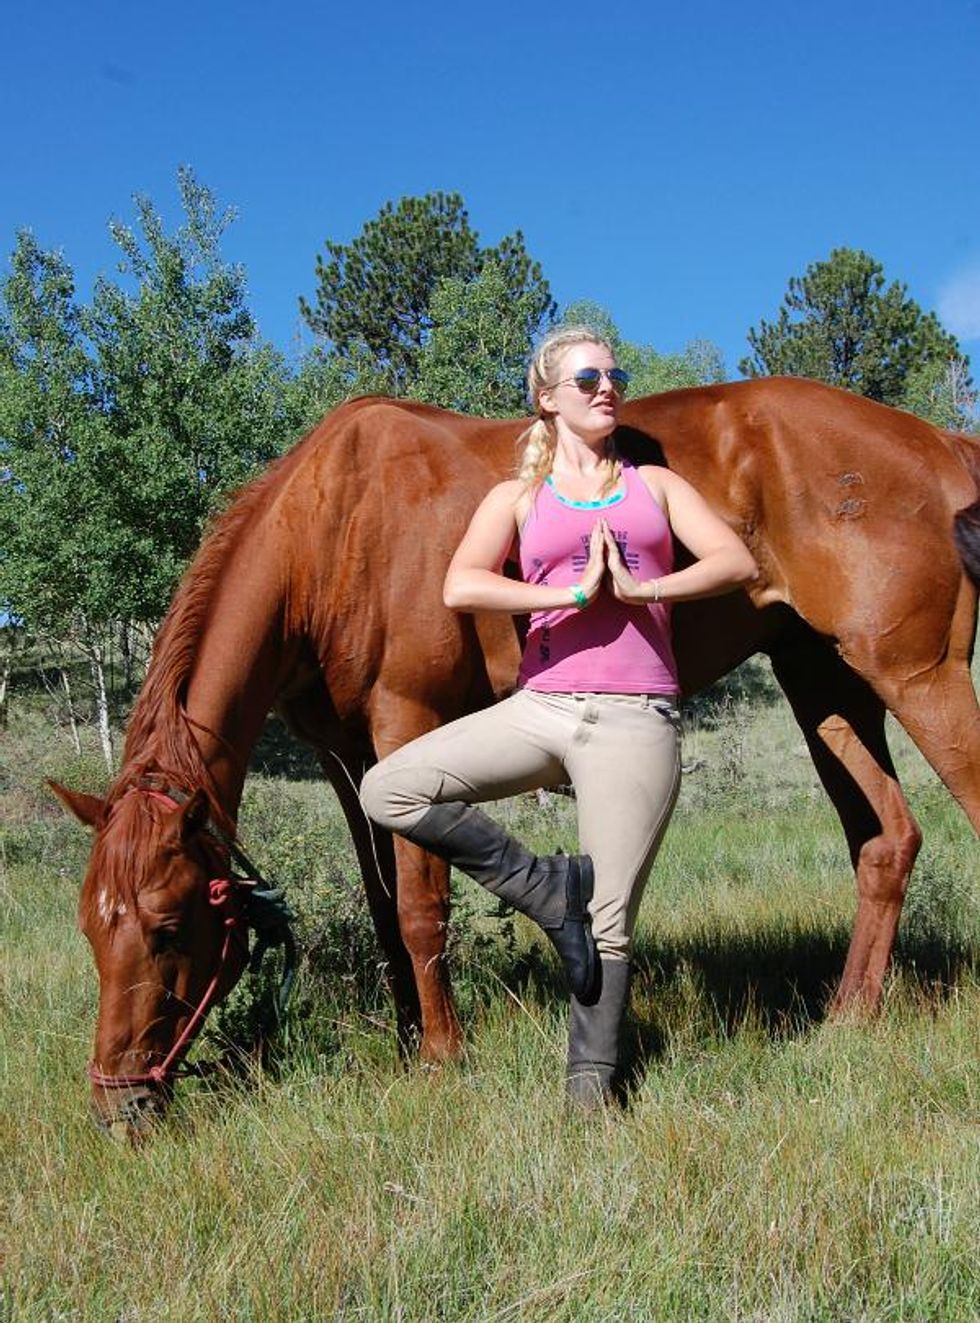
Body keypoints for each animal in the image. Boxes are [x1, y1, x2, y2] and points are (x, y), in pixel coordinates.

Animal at [51, 378, 978, 1132]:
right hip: (826, 683)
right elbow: (384, 904)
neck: (334, 526)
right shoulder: (348, 761)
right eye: (91, 927)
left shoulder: (406, 720)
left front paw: (441, 1056)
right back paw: (847, 1019)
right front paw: (407, 1037)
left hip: (916, 677)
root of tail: (939, 445)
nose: (115, 1104)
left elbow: (421, 906)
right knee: (887, 841)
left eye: (171, 926)